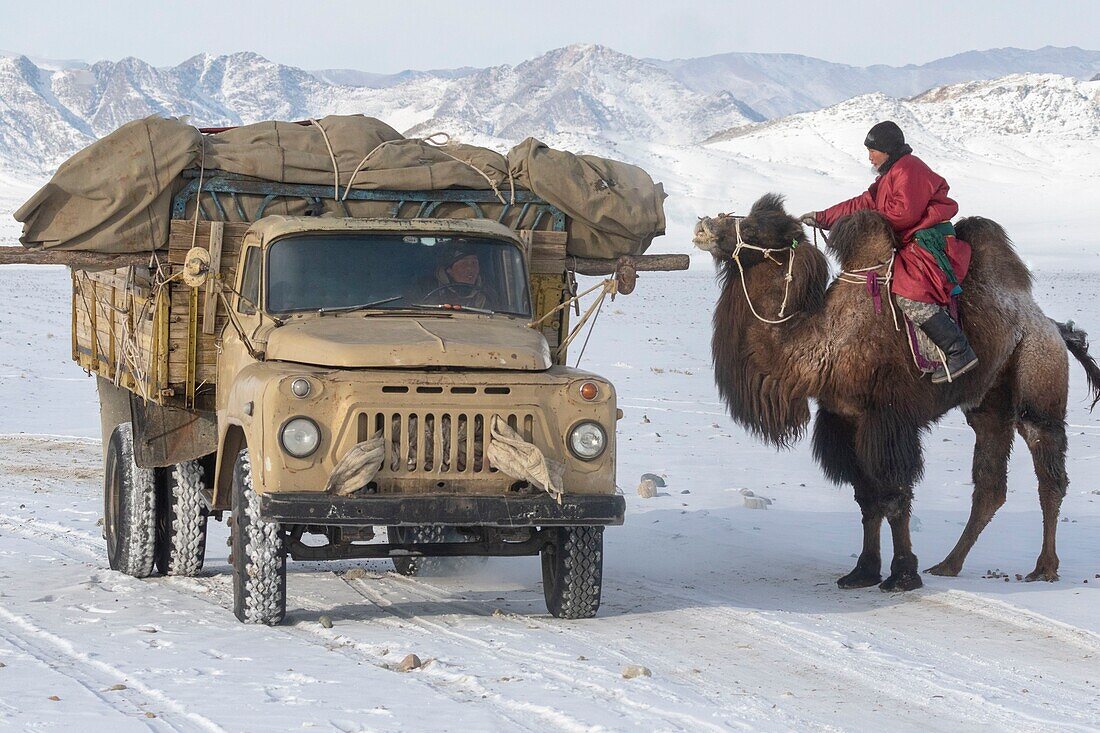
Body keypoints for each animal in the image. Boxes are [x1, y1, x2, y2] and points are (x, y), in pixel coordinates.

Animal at [695, 193, 1100, 589]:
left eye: (753, 227)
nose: (704, 225)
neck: (824, 343)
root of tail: (1052, 325)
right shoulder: (844, 420)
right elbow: (866, 499)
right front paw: (863, 571)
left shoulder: (887, 420)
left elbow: (894, 497)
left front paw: (903, 574)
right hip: (987, 403)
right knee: (990, 485)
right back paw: (949, 564)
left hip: (1037, 378)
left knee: (1048, 471)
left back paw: (1044, 568)